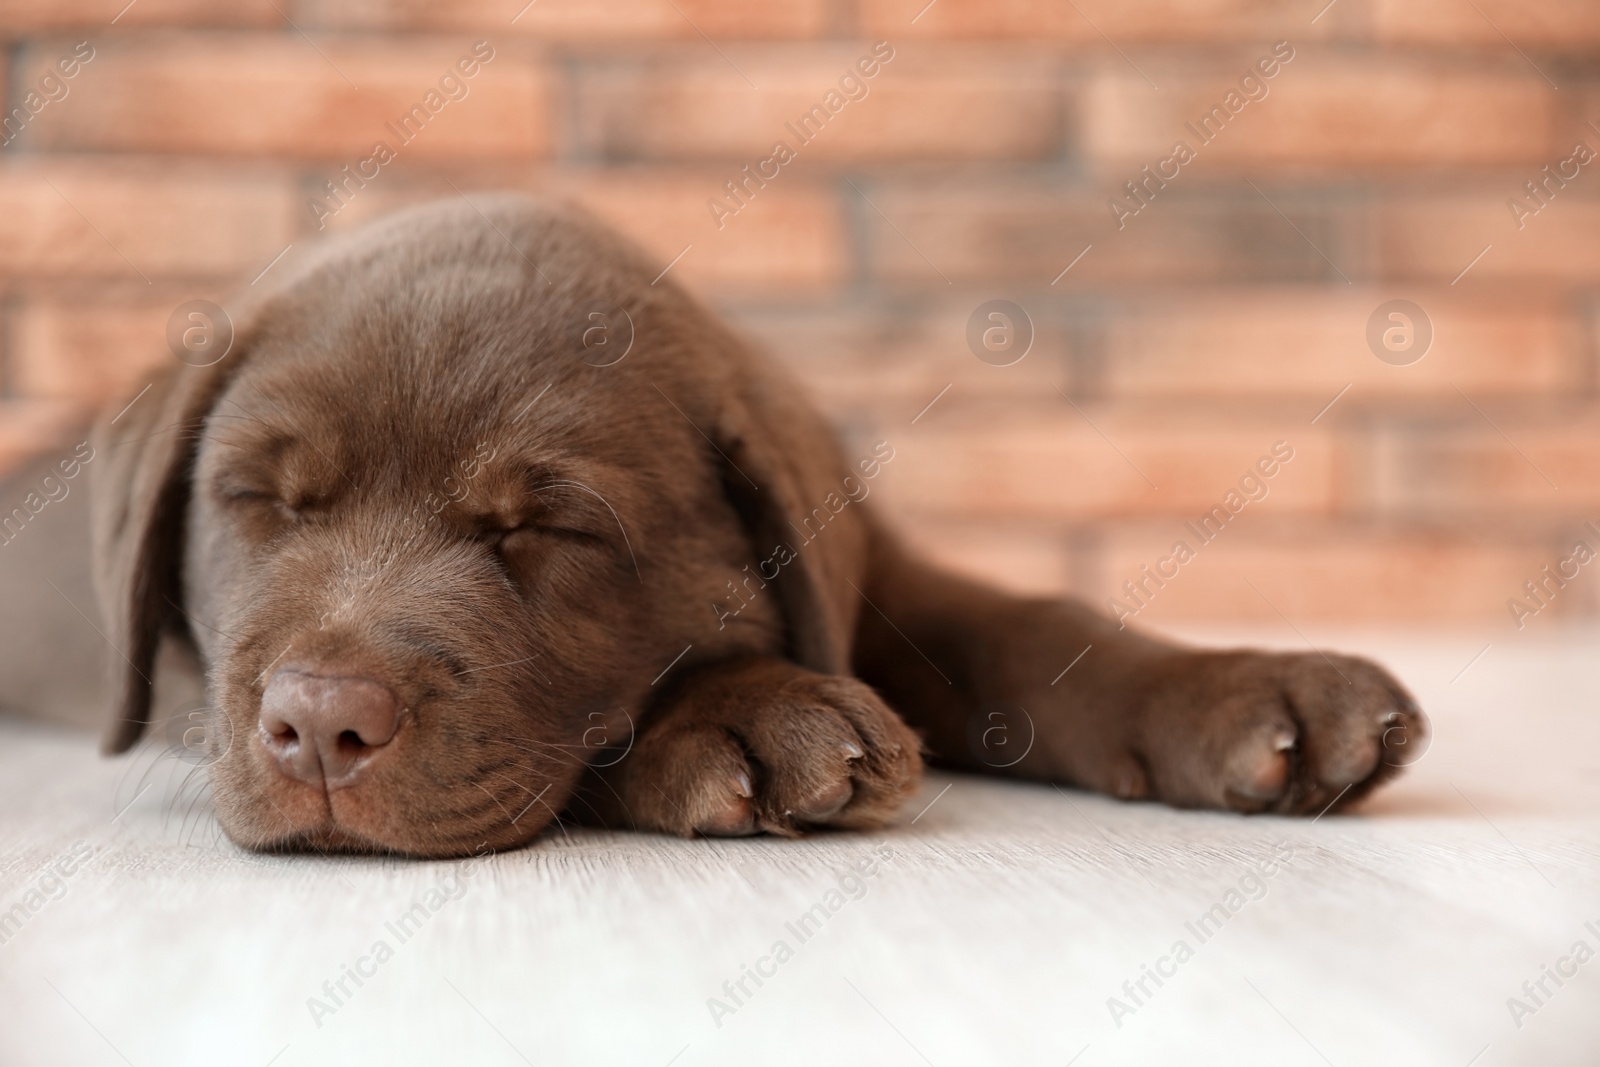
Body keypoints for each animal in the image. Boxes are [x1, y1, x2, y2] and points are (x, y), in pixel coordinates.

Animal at [81, 198, 1420, 857]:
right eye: (260, 502)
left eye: (551, 528)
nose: (320, 726)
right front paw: (750, 716)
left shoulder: (879, 578)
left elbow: (1033, 627)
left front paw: (1251, 690)